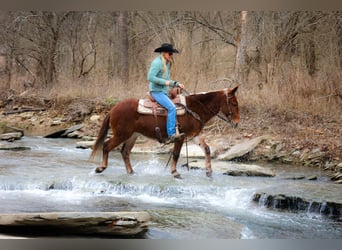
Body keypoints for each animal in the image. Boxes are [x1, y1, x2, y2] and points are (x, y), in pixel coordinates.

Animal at [91, 85, 240, 178]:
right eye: (233, 103)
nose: (237, 123)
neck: (194, 108)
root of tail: (113, 109)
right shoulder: (180, 137)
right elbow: (176, 154)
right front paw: (175, 172)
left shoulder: (194, 136)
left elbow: (207, 149)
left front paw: (209, 172)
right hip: (121, 134)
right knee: (106, 146)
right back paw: (101, 168)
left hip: (133, 135)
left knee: (125, 152)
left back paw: (131, 172)